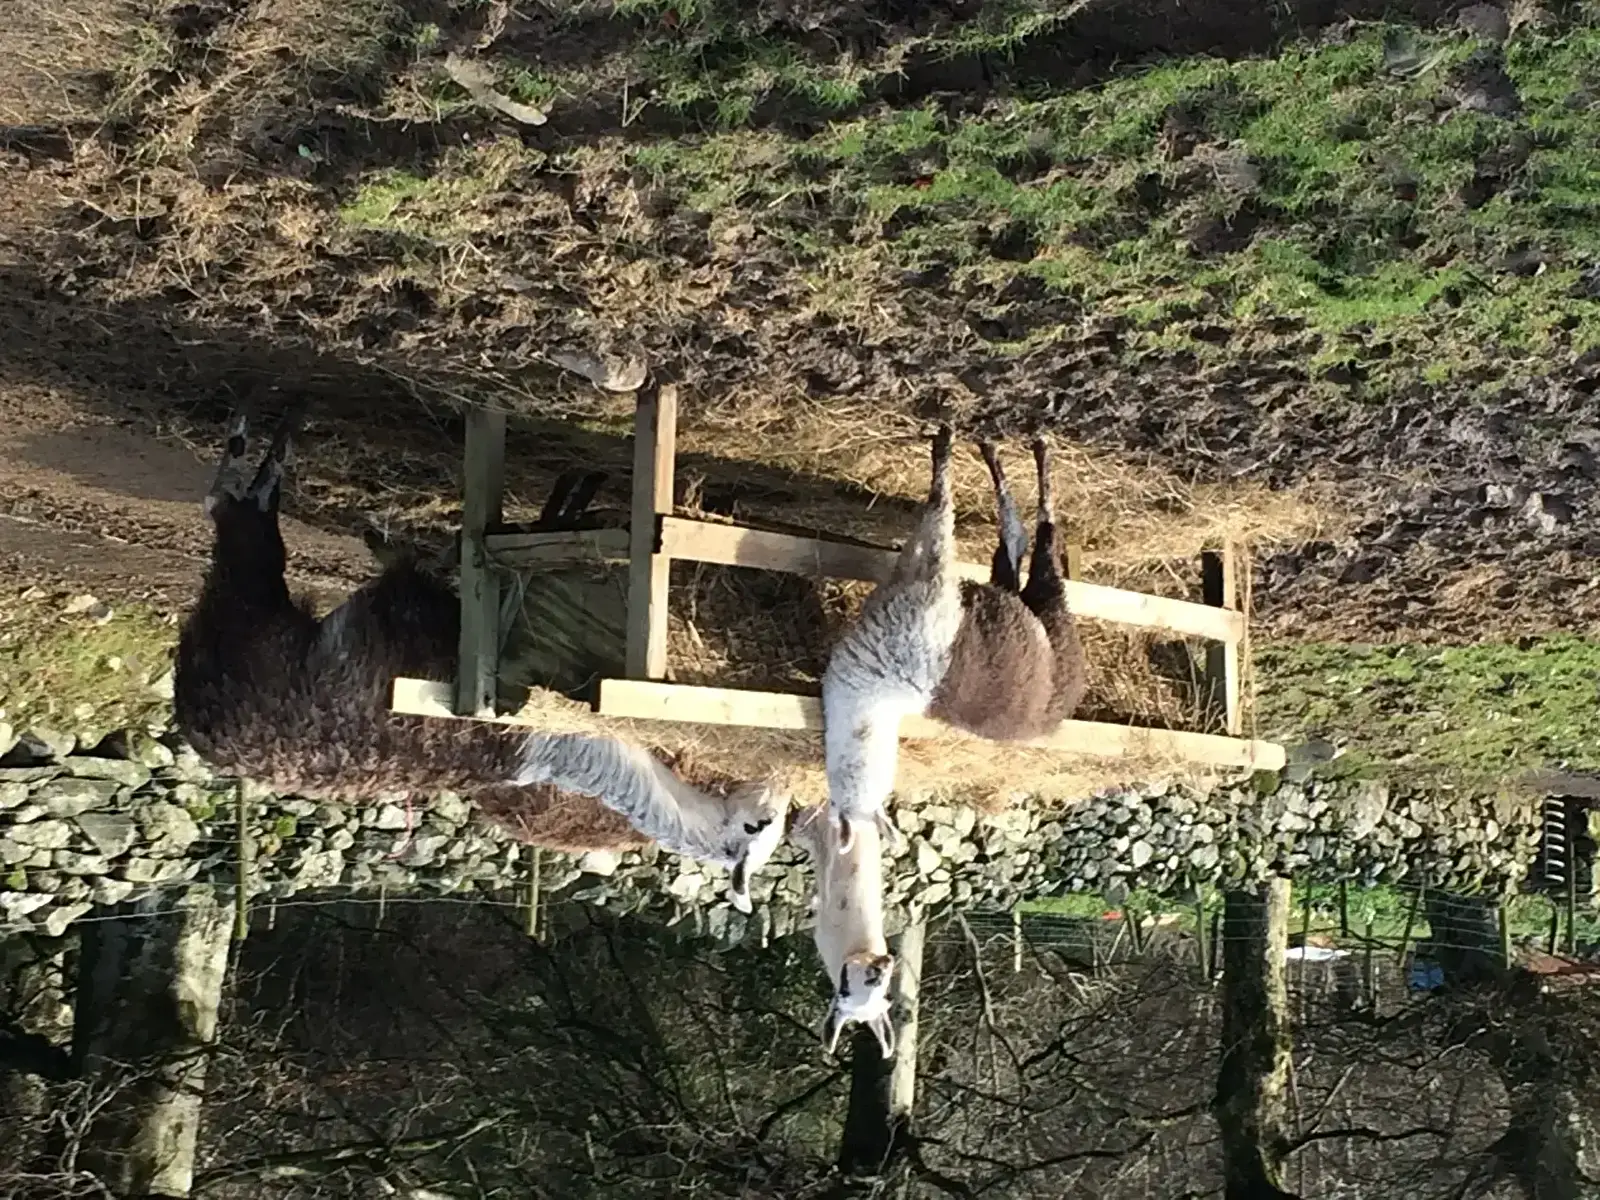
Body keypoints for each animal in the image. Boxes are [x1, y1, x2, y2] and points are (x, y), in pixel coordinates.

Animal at [171, 406, 788, 911]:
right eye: (762, 825)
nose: (782, 790)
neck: (549, 745)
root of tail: (196, 719)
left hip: (252, 605)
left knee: (238, 522)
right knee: (234, 512)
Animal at [821, 426, 1086, 850]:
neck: (878, 690)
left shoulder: (930, 586)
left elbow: (939, 510)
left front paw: (942, 450)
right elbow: (935, 523)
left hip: (1051, 610)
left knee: (1042, 535)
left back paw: (1030, 449)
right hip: (1026, 603)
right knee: (1016, 544)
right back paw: (1002, 451)